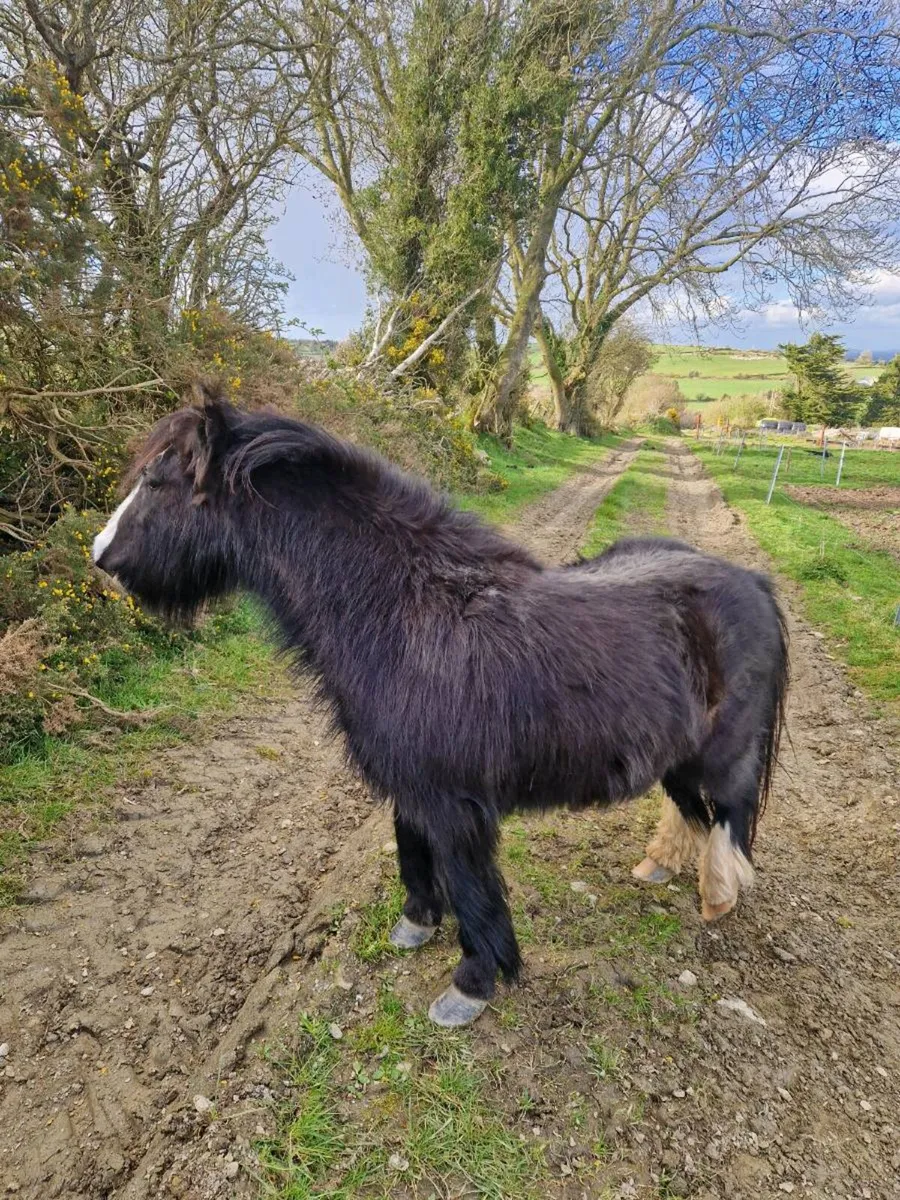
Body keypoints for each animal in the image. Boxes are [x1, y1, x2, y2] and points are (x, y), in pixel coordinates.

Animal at [93, 394, 789, 1027]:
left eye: (156, 483)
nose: (101, 558)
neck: (402, 614)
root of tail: (751, 583)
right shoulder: (409, 783)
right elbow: (411, 847)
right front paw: (417, 923)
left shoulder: (454, 804)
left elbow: (471, 885)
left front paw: (473, 983)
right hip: (676, 756)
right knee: (691, 810)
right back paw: (660, 866)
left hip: (724, 754)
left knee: (729, 815)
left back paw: (718, 895)